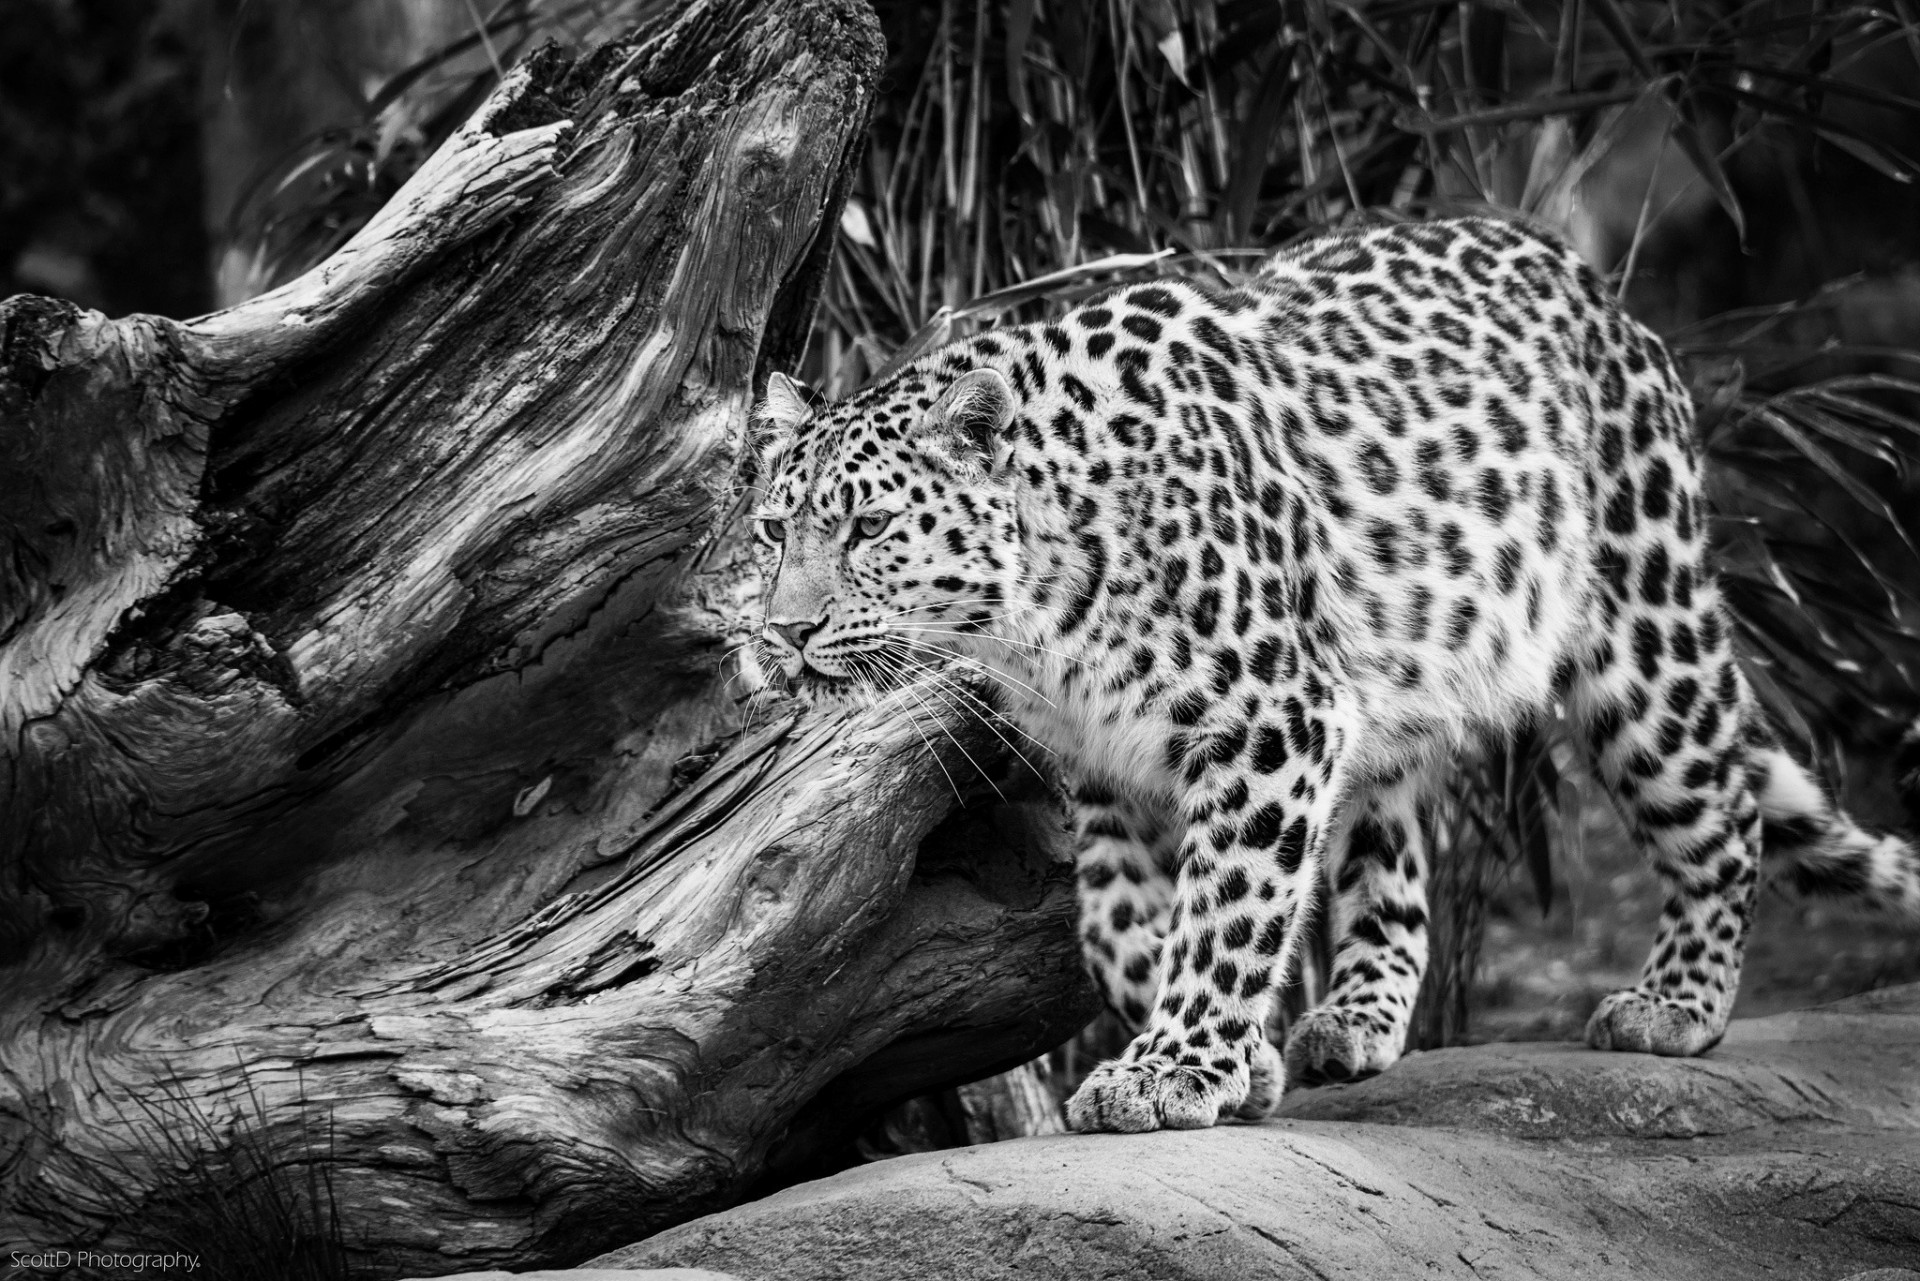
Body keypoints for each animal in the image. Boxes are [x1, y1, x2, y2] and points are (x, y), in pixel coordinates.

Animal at [744, 215, 1920, 1136]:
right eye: (771, 530)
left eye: (868, 529)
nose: (786, 631)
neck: (1030, 623)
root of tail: (1595, 287)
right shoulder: (1109, 767)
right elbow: (1119, 926)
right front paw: (1238, 1058)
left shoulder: (1270, 717)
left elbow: (1229, 901)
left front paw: (1175, 1070)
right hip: (1395, 688)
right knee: (1394, 864)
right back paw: (1354, 1020)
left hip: (1642, 625)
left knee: (1722, 808)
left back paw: (1676, 1004)